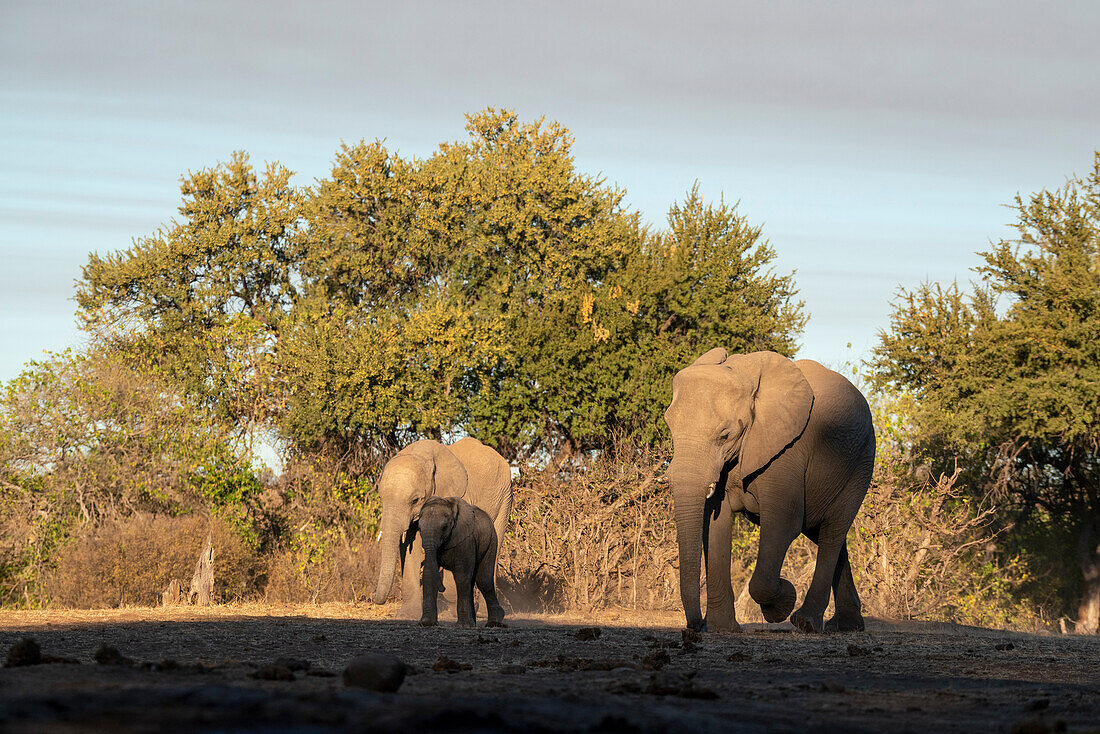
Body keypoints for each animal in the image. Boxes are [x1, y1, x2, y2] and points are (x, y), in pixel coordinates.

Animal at [415, 497, 506, 629]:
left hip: (492, 540)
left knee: (483, 580)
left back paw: (494, 622)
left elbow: (461, 576)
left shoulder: (466, 540)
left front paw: (463, 626)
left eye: (444, 527)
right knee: (473, 581)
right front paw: (427, 623)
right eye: (419, 529)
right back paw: (474, 623)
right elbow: (429, 573)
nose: (443, 588)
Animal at [660, 349, 875, 633]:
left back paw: (806, 622)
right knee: (824, 534)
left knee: (832, 531)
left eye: (725, 435)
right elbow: (715, 525)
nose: (695, 626)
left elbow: (784, 522)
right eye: (670, 427)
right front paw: (722, 629)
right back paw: (847, 625)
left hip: (862, 462)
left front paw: (783, 602)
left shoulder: (787, 450)